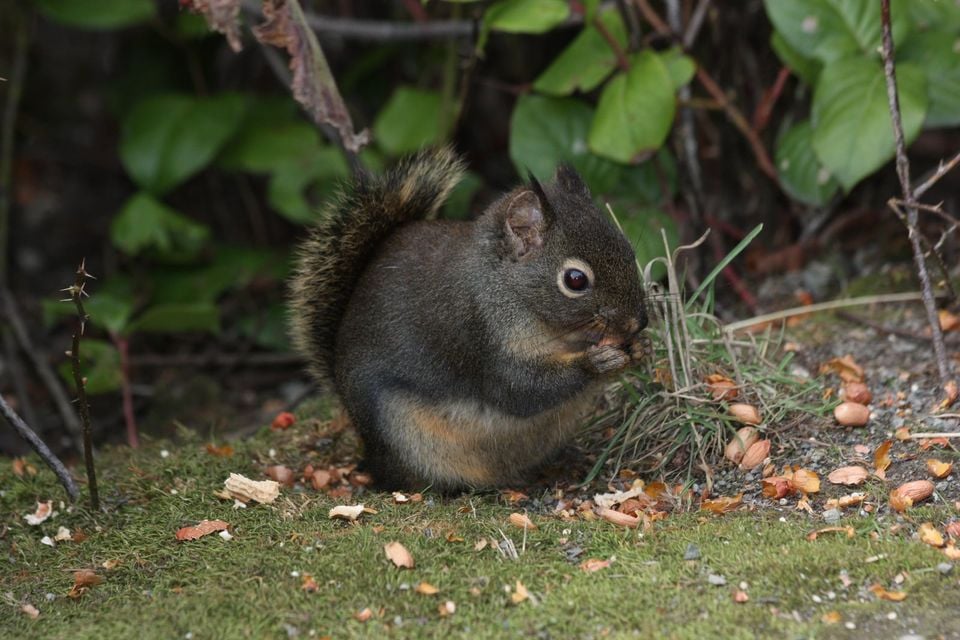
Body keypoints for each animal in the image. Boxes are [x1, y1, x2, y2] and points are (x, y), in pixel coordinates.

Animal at [289, 147, 647, 491]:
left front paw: (639, 349)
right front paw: (596, 362)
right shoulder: (479, 336)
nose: (637, 323)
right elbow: (522, 389)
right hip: (405, 437)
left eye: (629, 249)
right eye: (575, 280)